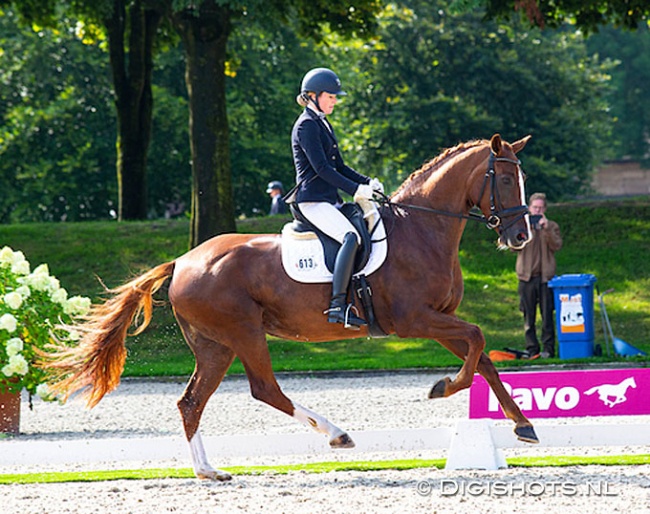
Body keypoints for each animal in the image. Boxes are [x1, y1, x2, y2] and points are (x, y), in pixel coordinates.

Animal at [44, 133, 536, 480]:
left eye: (522, 180)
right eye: (503, 179)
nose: (520, 237)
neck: (421, 229)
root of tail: (182, 261)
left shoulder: (439, 320)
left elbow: (483, 358)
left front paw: (523, 426)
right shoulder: (415, 320)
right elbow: (477, 342)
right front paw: (442, 387)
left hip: (215, 345)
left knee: (191, 402)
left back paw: (208, 471)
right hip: (243, 333)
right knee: (265, 389)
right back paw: (337, 434)